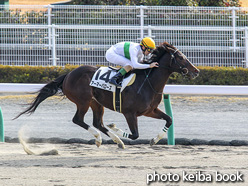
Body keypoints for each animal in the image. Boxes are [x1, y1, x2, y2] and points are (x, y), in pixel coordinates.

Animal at [16, 41, 200, 148]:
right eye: (181, 57)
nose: (196, 71)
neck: (148, 83)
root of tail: (68, 74)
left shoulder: (150, 110)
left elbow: (169, 120)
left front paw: (154, 140)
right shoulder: (129, 113)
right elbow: (135, 135)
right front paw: (116, 128)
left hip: (96, 103)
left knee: (97, 123)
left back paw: (116, 141)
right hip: (83, 101)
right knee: (78, 120)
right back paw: (100, 138)